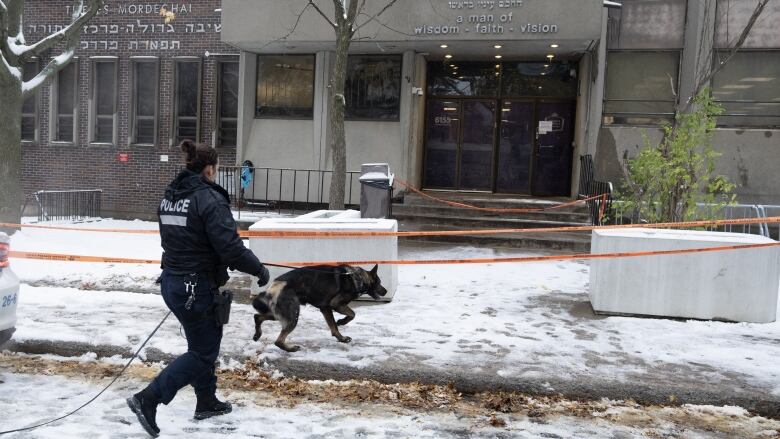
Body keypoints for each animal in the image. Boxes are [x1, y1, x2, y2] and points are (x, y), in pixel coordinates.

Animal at [253, 264, 386, 354]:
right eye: (379, 282)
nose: (386, 291)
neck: (357, 277)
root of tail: (275, 285)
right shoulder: (336, 304)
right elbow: (352, 314)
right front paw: (342, 322)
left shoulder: (325, 308)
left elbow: (333, 327)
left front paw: (341, 338)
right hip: (292, 315)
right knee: (278, 341)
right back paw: (291, 349)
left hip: (279, 313)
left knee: (257, 317)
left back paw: (257, 335)